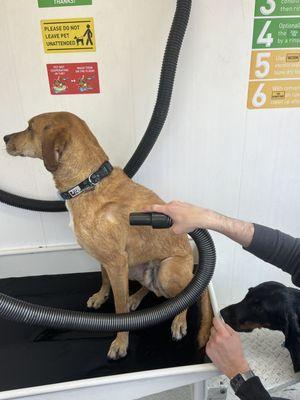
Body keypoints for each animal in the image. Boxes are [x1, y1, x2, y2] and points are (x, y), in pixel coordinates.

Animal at [2, 111, 213, 358]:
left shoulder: (116, 262)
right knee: (154, 290)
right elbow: (103, 277)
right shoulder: (107, 260)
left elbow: (119, 309)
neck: (87, 183)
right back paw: (135, 298)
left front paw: (121, 342)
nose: (5, 138)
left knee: (188, 295)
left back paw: (178, 320)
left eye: (29, 128)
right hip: (137, 269)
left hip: (167, 271)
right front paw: (101, 296)